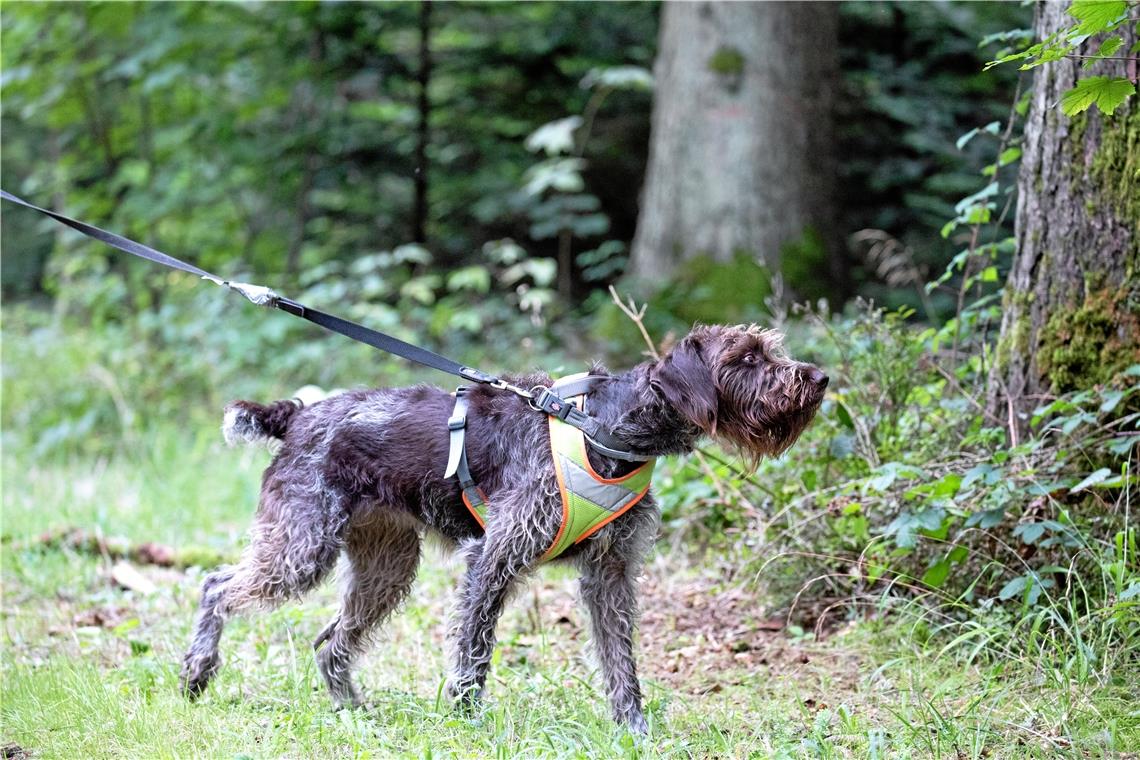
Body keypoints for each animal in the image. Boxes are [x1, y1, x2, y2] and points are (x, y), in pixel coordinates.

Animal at [177, 323, 825, 733]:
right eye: (745, 359)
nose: (817, 378)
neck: (609, 427)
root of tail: (298, 414)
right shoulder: (492, 558)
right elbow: (475, 650)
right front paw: (467, 723)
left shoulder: (610, 575)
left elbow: (621, 664)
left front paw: (635, 731)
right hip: (301, 547)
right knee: (215, 586)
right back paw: (196, 672)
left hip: (386, 569)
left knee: (329, 642)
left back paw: (354, 714)